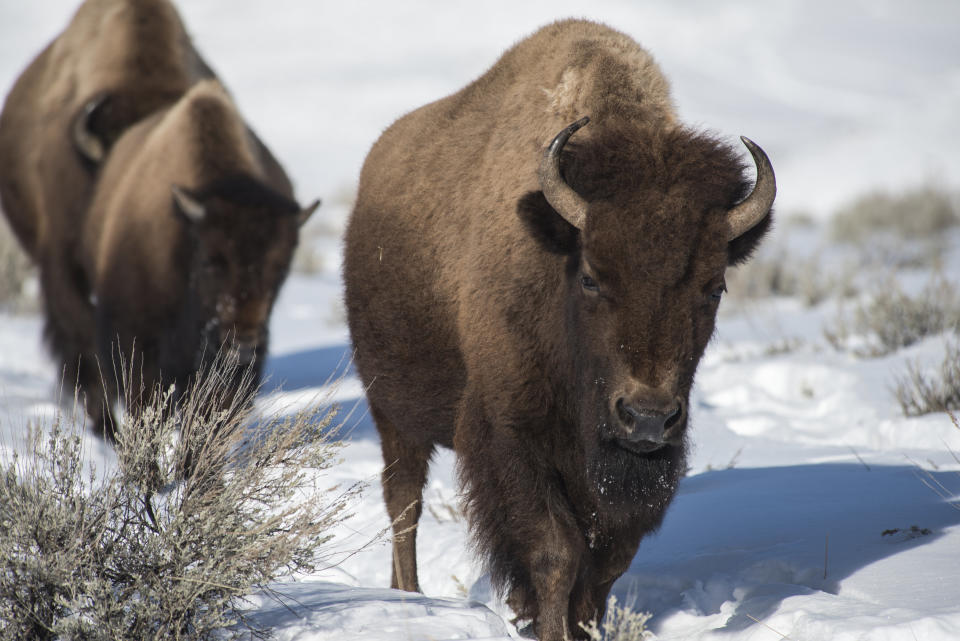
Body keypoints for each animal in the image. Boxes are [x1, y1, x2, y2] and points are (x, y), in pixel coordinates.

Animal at [344, 17, 772, 636]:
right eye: (591, 277)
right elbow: (555, 553)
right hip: (394, 415)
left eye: (714, 287)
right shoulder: (512, 438)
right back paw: (408, 598)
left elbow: (605, 563)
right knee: (404, 504)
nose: (647, 417)